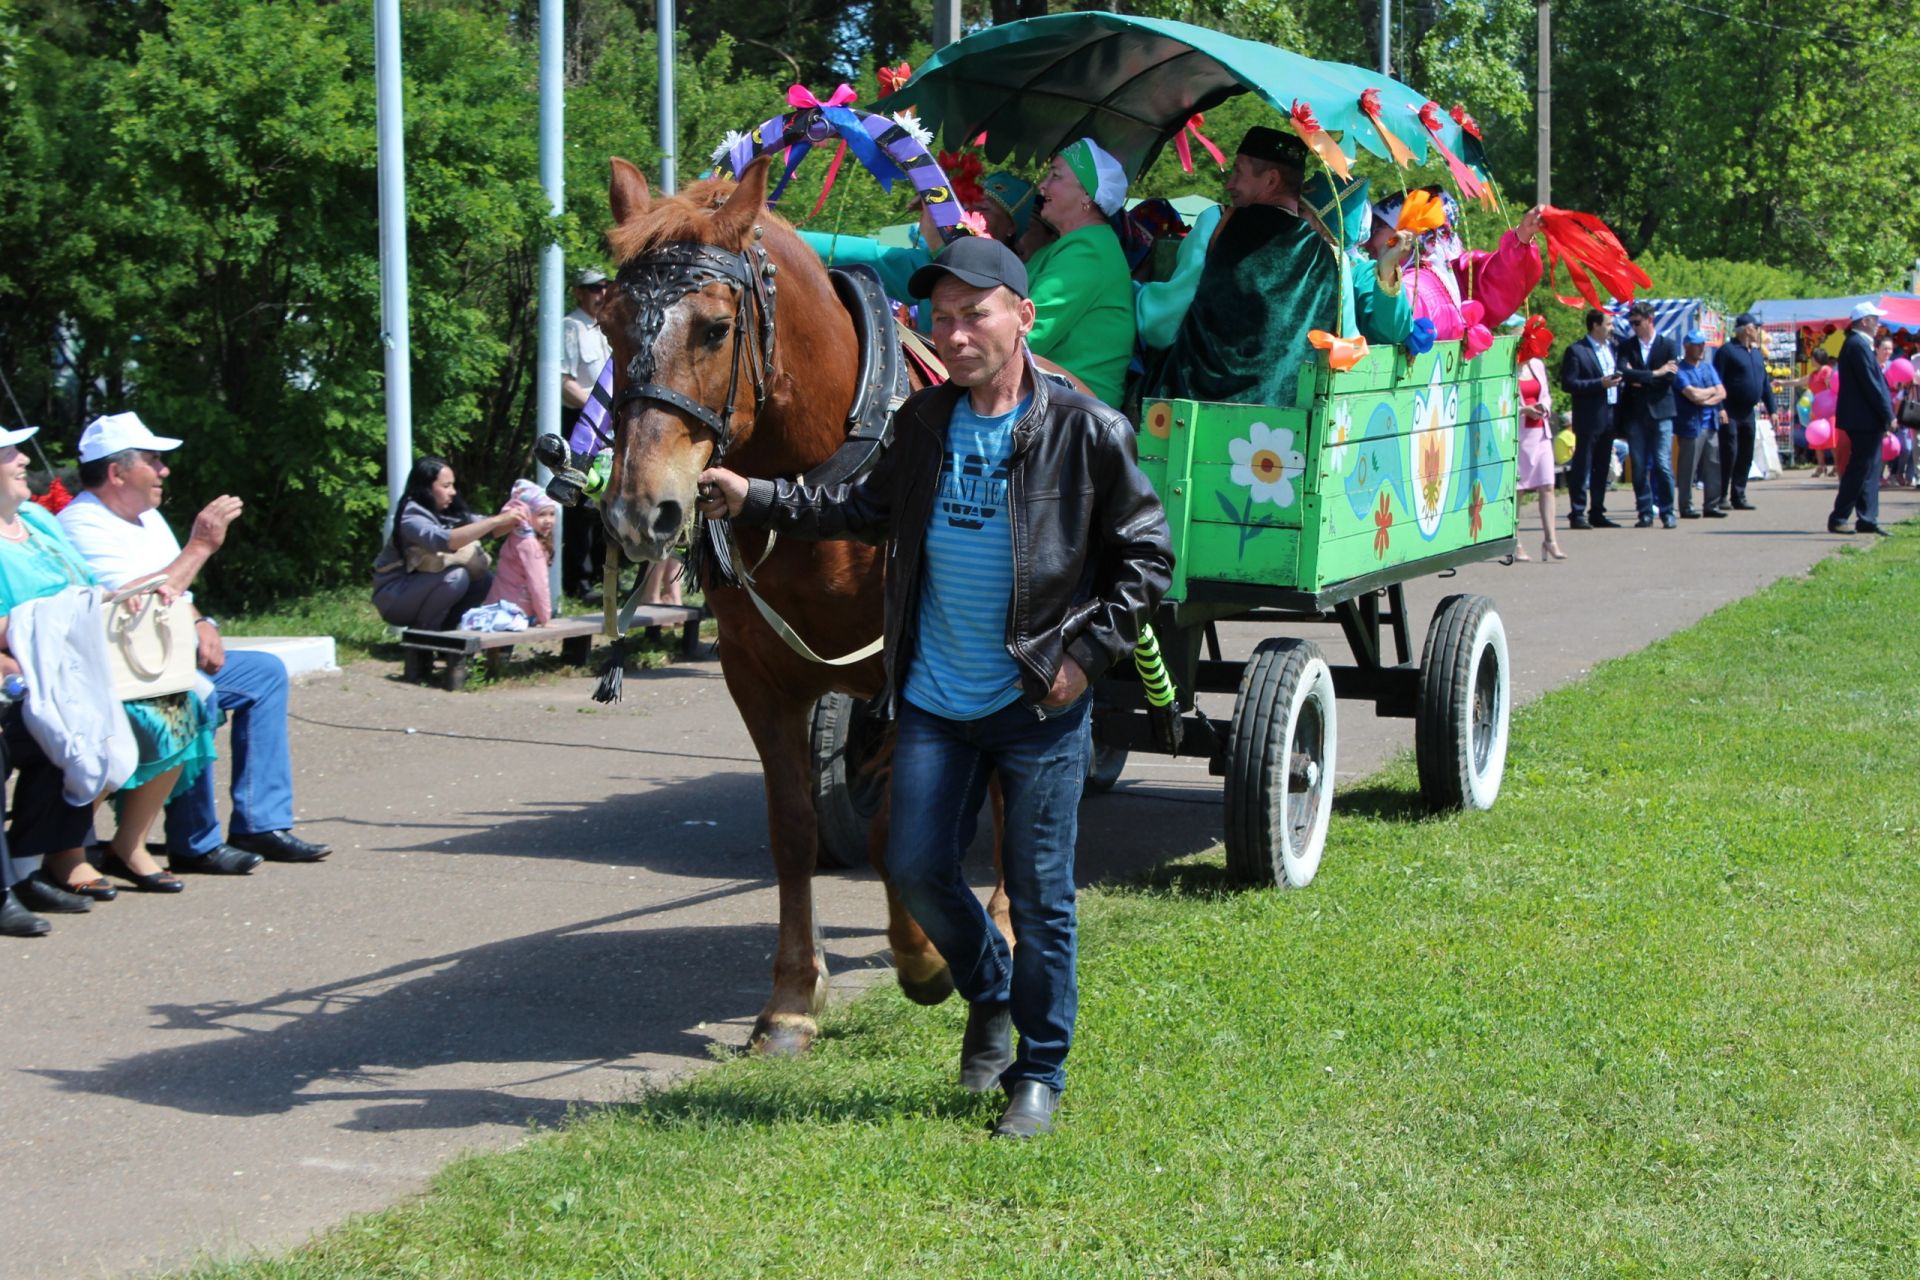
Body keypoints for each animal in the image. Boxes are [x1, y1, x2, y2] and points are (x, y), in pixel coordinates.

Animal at [595, 155, 1006, 1059]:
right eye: (606, 326)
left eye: (715, 329)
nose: (641, 511)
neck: (822, 478)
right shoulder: (758, 675)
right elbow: (793, 830)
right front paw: (790, 999)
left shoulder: (910, 672)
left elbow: (897, 830)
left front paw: (922, 959)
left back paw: (1002, 920)